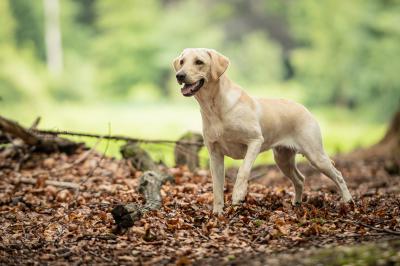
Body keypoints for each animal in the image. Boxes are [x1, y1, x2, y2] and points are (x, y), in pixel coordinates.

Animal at [170, 48, 352, 214]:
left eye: (199, 62)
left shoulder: (255, 141)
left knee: (338, 174)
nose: (179, 75)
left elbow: (243, 171)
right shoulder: (215, 154)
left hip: (315, 155)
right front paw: (218, 213)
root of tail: (305, 108)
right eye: (182, 62)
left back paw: (348, 200)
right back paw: (297, 203)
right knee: (300, 179)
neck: (214, 107)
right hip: (283, 159)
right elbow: (216, 186)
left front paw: (238, 195)